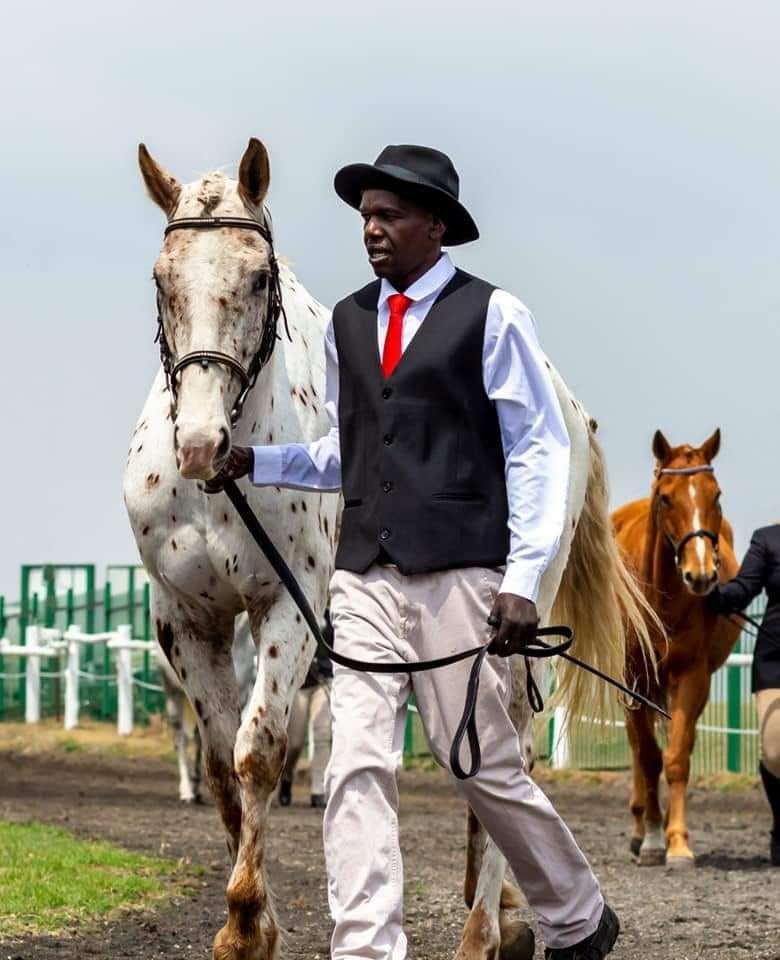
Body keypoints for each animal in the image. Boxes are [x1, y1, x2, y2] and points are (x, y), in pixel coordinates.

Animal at [123, 137, 336, 960]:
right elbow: (220, 766)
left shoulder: (288, 605)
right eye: (161, 278)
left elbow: (259, 751)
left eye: (258, 276)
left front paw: (248, 924)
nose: (201, 444)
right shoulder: (188, 619)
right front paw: (251, 919)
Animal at [612, 432, 740, 868]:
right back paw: (638, 831)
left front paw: (678, 842)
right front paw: (652, 840)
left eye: (717, 494)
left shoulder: (691, 675)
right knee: (637, 749)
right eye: (666, 498)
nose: (700, 575)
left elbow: (677, 758)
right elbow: (649, 758)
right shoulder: (633, 679)